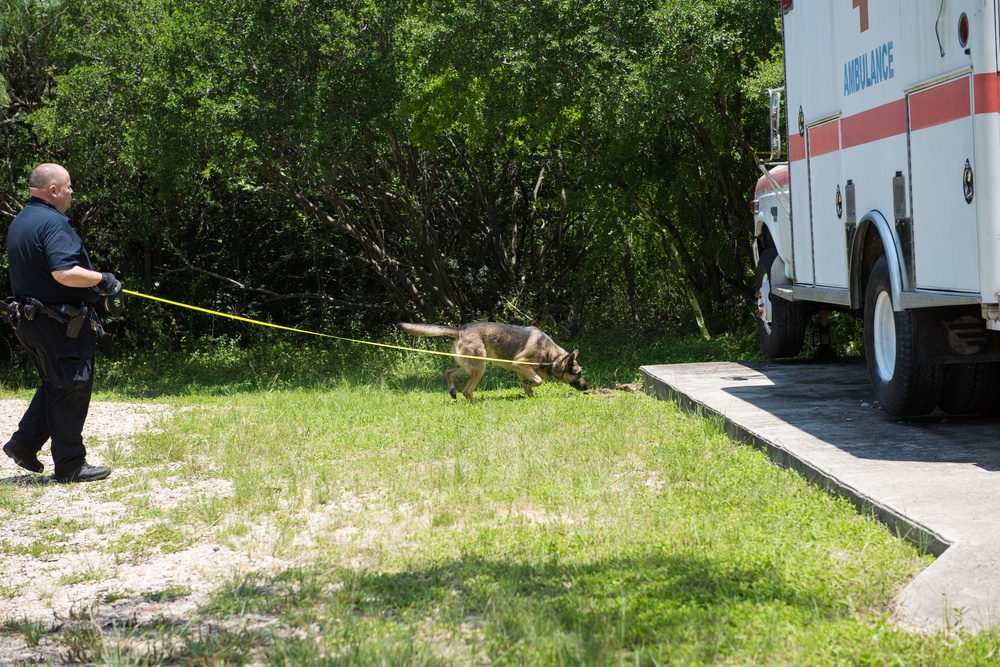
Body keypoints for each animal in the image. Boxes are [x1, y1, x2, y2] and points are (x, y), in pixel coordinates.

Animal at [396, 324, 588, 402]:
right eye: (578, 373)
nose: (587, 387)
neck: (552, 357)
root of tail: (461, 329)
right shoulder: (519, 364)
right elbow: (539, 381)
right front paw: (533, 384)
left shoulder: (521, 371)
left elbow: (530, 386)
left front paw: (530, 394)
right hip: (480, 368)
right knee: (467, 391)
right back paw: (474, 405)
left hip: (468, 366)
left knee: (449, 373)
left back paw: (453, 392)